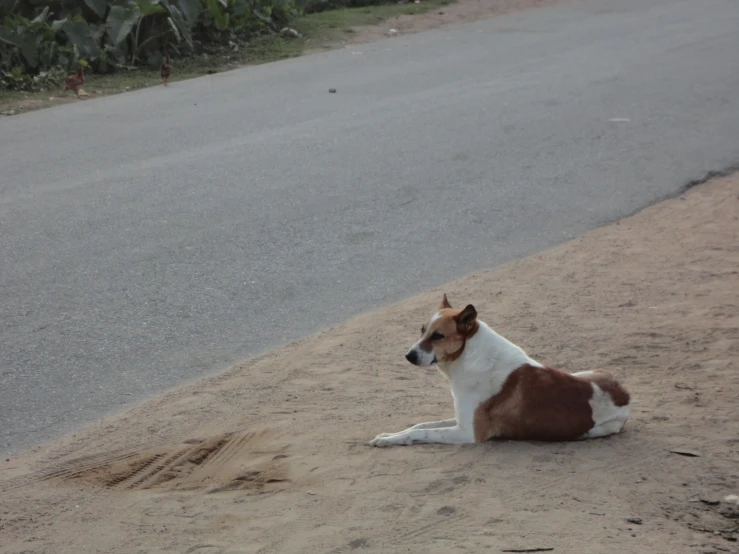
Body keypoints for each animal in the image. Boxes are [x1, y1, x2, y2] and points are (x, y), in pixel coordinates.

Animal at [370, 294, 632, 444]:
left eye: (438, 336)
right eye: (422, 330)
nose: (408, 356)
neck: (470, 355)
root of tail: (624, 394)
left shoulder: (467, 433)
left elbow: (420, 433)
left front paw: (390, 440)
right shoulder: (461, 420)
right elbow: (419, 425)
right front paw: (388, 436)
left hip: (603, 427)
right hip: (583, 371)